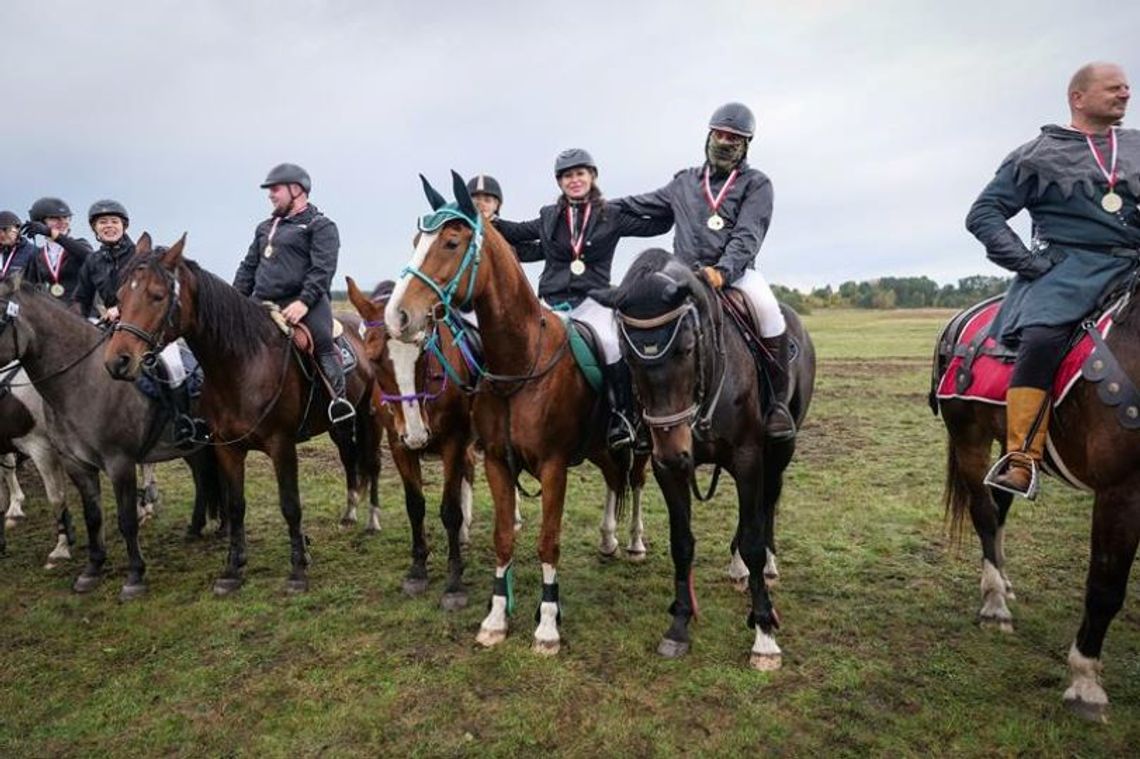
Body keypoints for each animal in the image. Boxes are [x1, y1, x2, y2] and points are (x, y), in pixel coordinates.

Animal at [0, 272, 223, 597]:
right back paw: (197, 528)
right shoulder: (76, 464)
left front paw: (135, 576)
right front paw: (92, 569)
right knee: (203, 476)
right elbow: (93, 517)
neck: (85, 382)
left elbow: (126, 519)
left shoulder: (118, 462)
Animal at [103, 233, 378, 592]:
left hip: (367, 417)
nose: (118, 361)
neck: (242, 364)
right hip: (339, 425)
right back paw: (349, 513)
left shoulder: (281, 445)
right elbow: (235, 506)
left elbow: (290, 505)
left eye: (157, 295)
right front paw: (233, 568)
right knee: (348, 457)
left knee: (369, 462)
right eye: (120, 295)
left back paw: (369, 518)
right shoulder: (227, 448)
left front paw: (298, 569)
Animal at [385, 173, 647, 651]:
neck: (520, 362)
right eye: (416, 240)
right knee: (613, 479)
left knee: (634, 481)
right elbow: (503, 538)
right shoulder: (495, 463)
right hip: (598, 448)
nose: (398, 316)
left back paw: (635, 542)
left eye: (451, 242)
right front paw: (495, 618)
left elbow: (548, 542)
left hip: (643, 444)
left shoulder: (554, 467)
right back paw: (608, 539)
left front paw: (547, 625)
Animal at [592, 249, 816, 670]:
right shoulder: (667, 470)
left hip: (779, 451)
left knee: (768, 504)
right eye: (627, 356)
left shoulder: (748, 459)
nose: (674, 448)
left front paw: (764, 632)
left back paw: (767, 567)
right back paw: (739, 569)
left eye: (685, 348)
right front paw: (679, 624)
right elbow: (682, 542)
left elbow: (754, 539)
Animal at [934, 284, 1140, 720]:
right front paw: (1085, 683)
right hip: (969, 439)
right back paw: (995, 602)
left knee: (998, 507)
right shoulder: (1122, 489)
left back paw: (1002, 581)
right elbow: (1106, 585)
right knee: (984, 514)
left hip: (1011, 448)